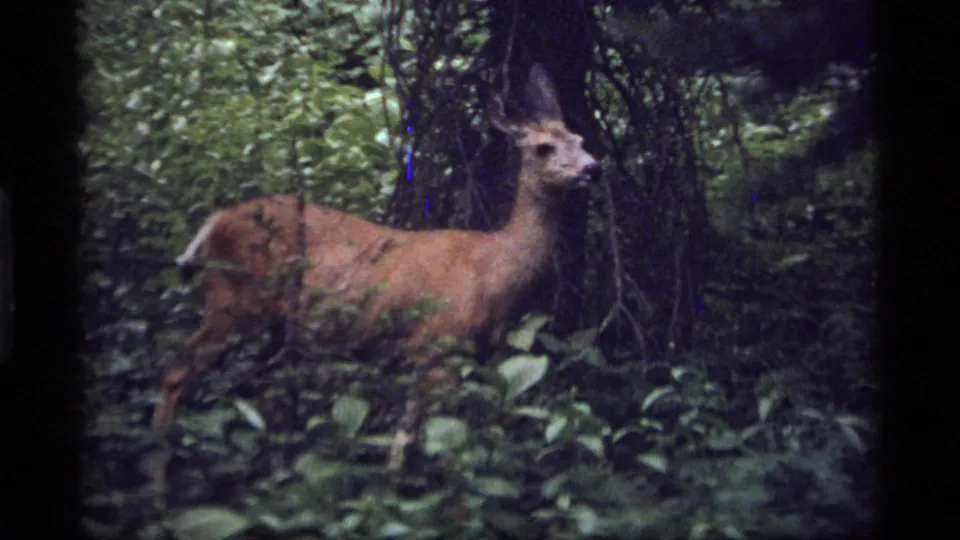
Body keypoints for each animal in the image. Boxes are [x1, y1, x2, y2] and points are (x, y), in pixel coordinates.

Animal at [152, 64, 601, 470]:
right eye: (543, 148)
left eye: (579, 138)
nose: (592, 168)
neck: (493, 269)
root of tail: (214, 223)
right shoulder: (437, 344)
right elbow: (431, 439)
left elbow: (404, 441)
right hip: (236, 299)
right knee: (176, 369)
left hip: (275, 324)